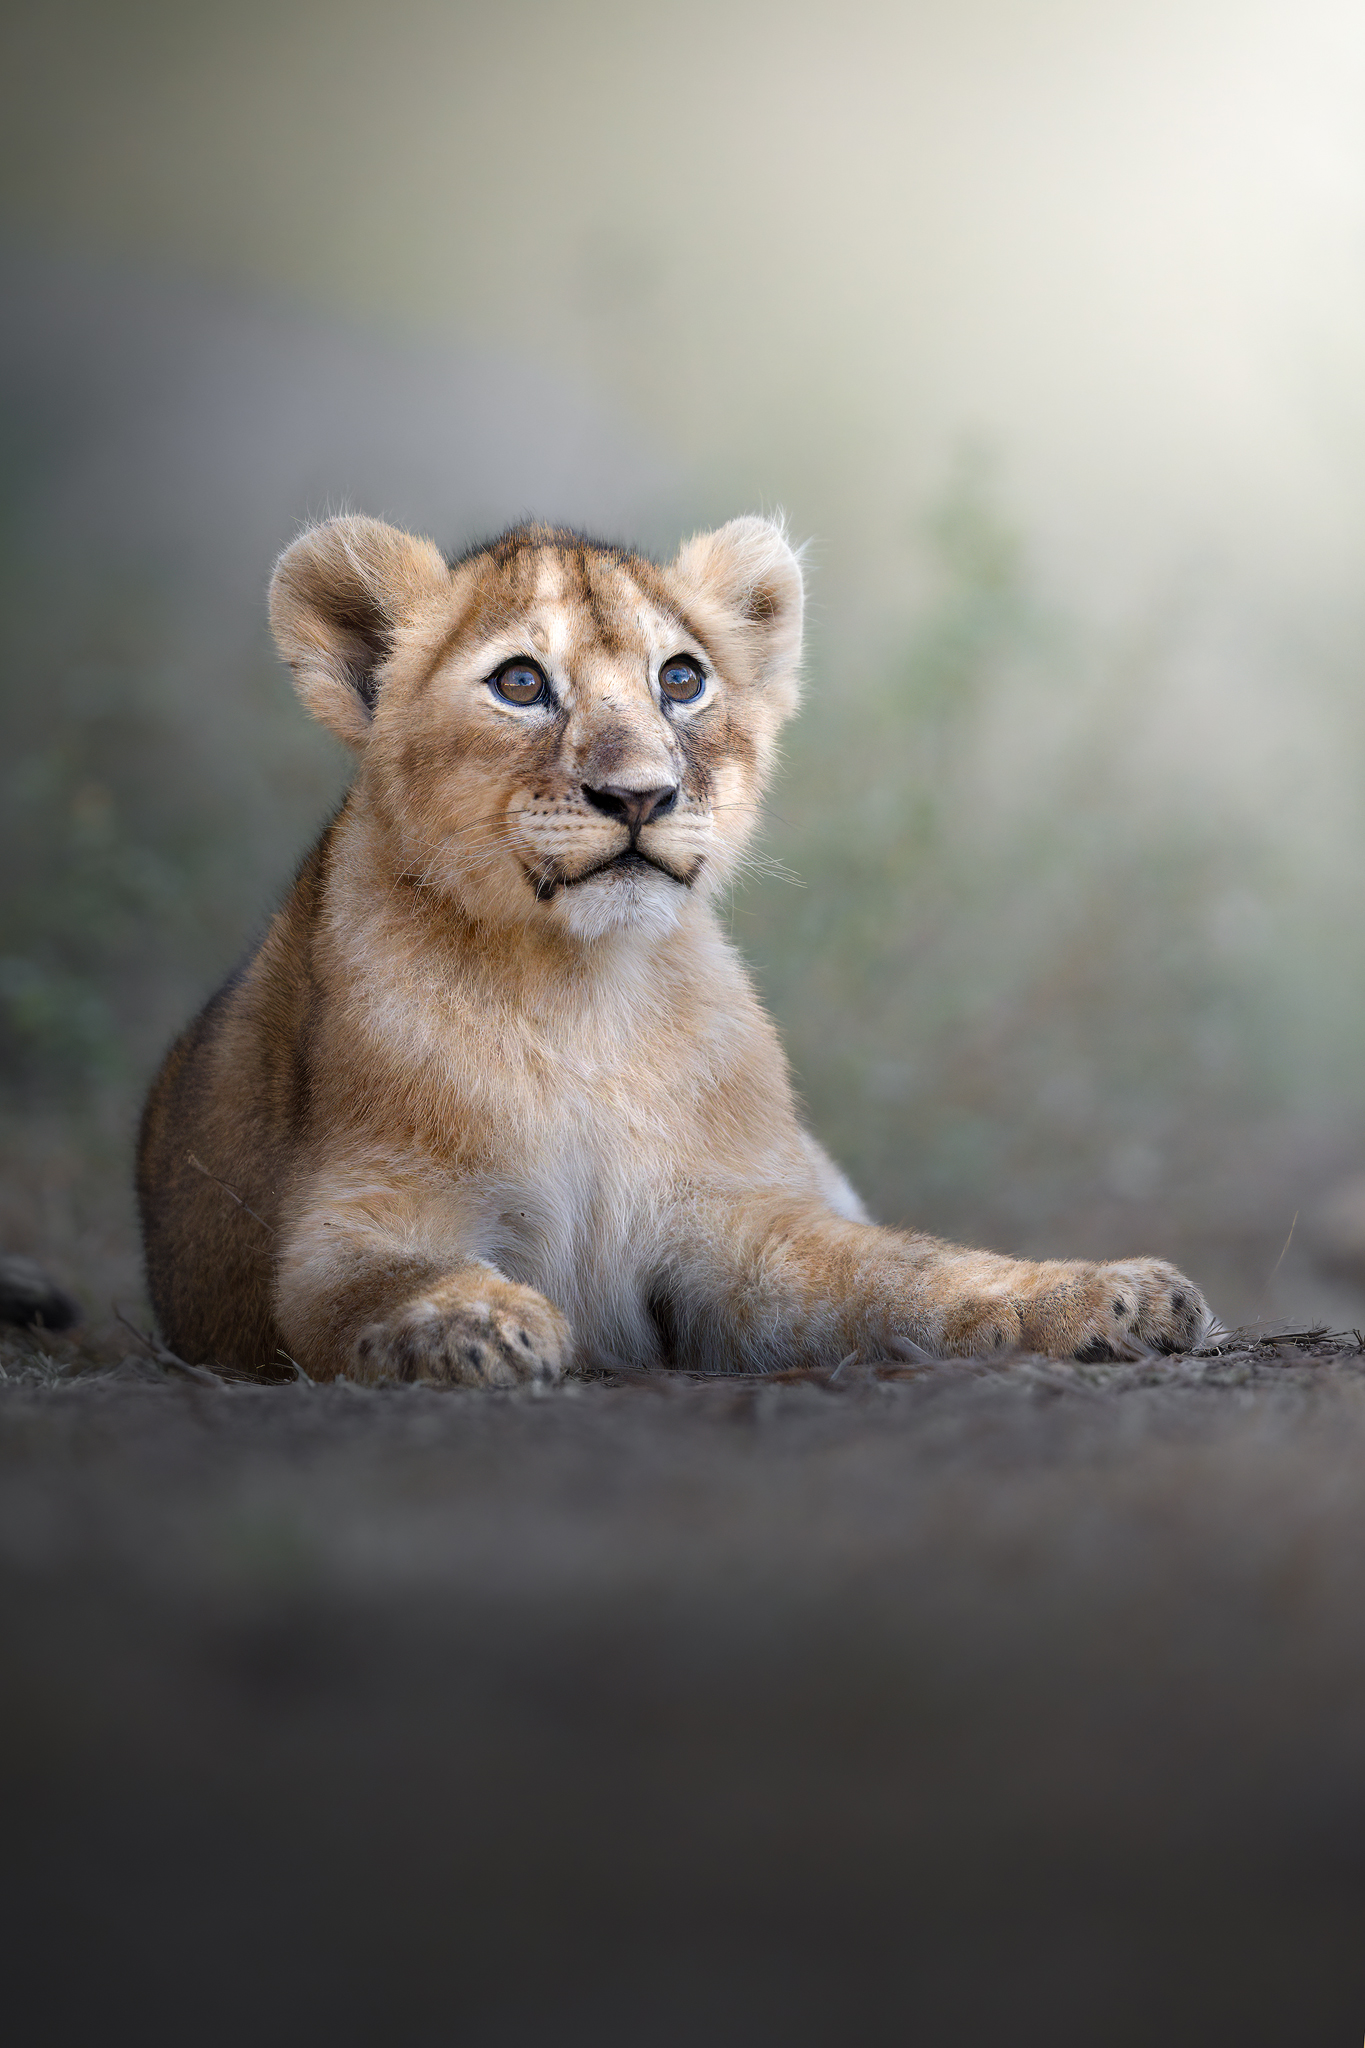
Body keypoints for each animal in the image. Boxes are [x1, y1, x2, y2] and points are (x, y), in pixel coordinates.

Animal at [137, 513, 1215, 1382]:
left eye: (681, 679)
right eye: (520, 683)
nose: (641, 795)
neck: (581, 991)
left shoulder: (741, 1220)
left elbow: (914, 1268)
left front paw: (1114, 1297)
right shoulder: (345, 1219)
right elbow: (386, 1280)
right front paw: (475, 1325)